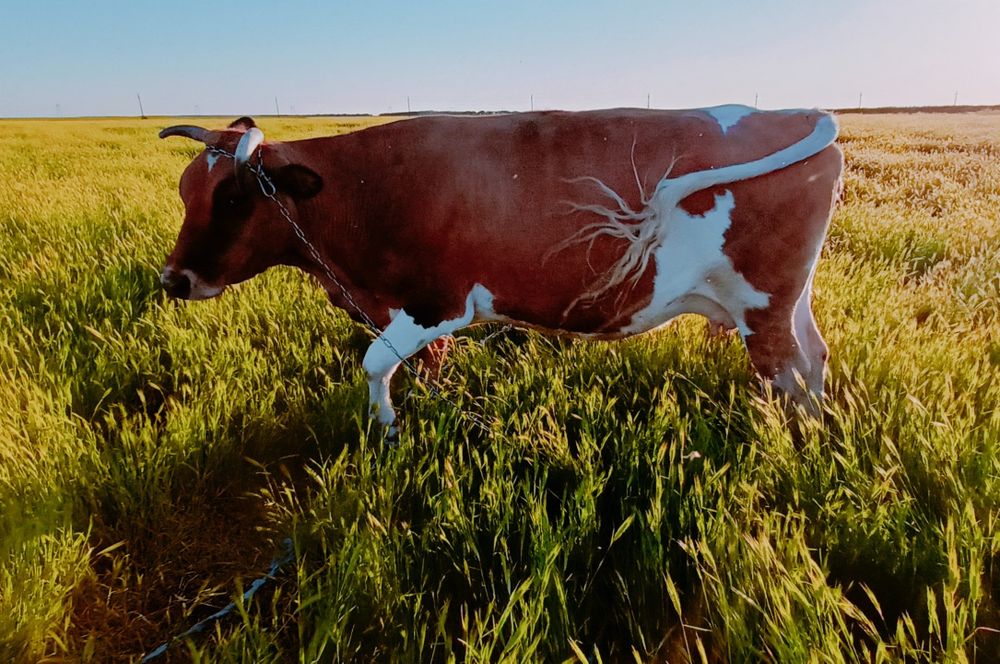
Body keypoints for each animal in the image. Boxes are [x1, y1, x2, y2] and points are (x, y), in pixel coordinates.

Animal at [158, 106, 843, 440]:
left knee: (789, 375)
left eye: (234, 198)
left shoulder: (437, 302)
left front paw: (387, 429)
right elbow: (421, 367)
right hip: (789, 301)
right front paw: (424, 410)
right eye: (186, 191)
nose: (173, 280)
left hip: (763, 308)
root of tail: (798, 112)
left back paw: (790, 448)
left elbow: (375, 365)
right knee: (814, 359)